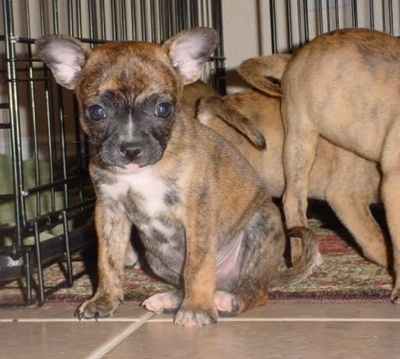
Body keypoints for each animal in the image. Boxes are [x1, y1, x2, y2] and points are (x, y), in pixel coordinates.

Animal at [36, 28, 318, 326]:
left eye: (163, 109)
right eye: (96, 111)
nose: (131, 148)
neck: (143, 172)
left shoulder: (197, 214)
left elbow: (197, 265)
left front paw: (196, 308)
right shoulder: (110, 213)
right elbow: (108, 262)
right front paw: (104, 299)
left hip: (261, 227)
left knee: (255, 290)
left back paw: (228, 300)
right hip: (155, 257)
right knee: (185, 283)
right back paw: (170, 299)